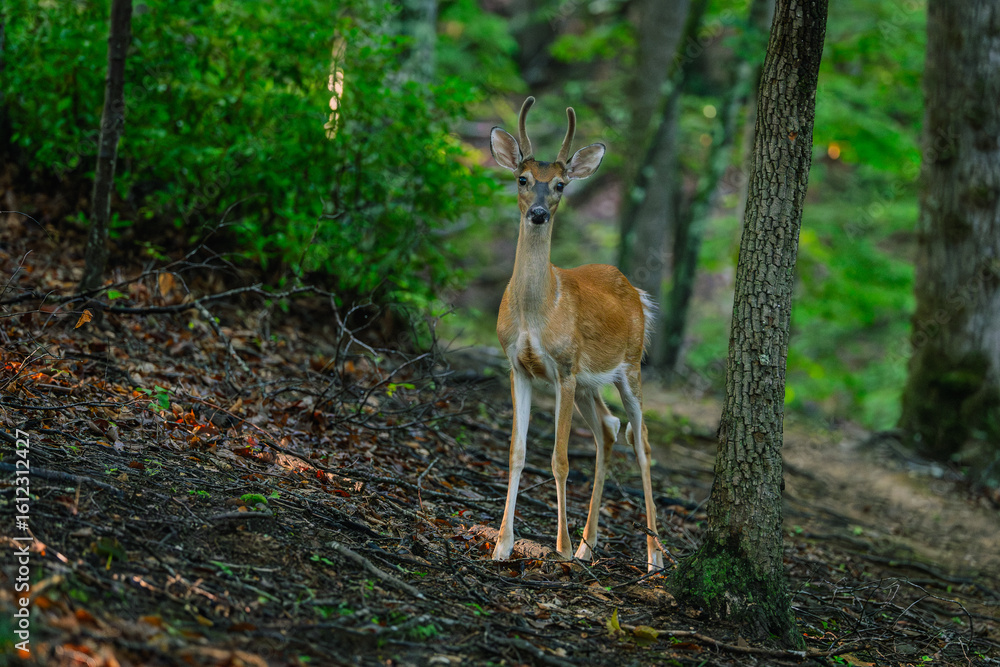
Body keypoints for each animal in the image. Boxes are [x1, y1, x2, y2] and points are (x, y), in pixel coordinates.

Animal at [489, 97, 663, 572]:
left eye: (562, 185)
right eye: (522, 178)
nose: (539, 213)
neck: (537, 311)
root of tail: (637, 292)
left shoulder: (564, 369)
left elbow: (561, 459)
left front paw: (561, 547)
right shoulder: (517, 366)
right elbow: (516, 453)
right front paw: (502, 544)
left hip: (630, 367)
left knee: (642, 440)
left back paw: (654, 557)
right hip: (591, 383)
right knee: (608, 428)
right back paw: (590, 544)